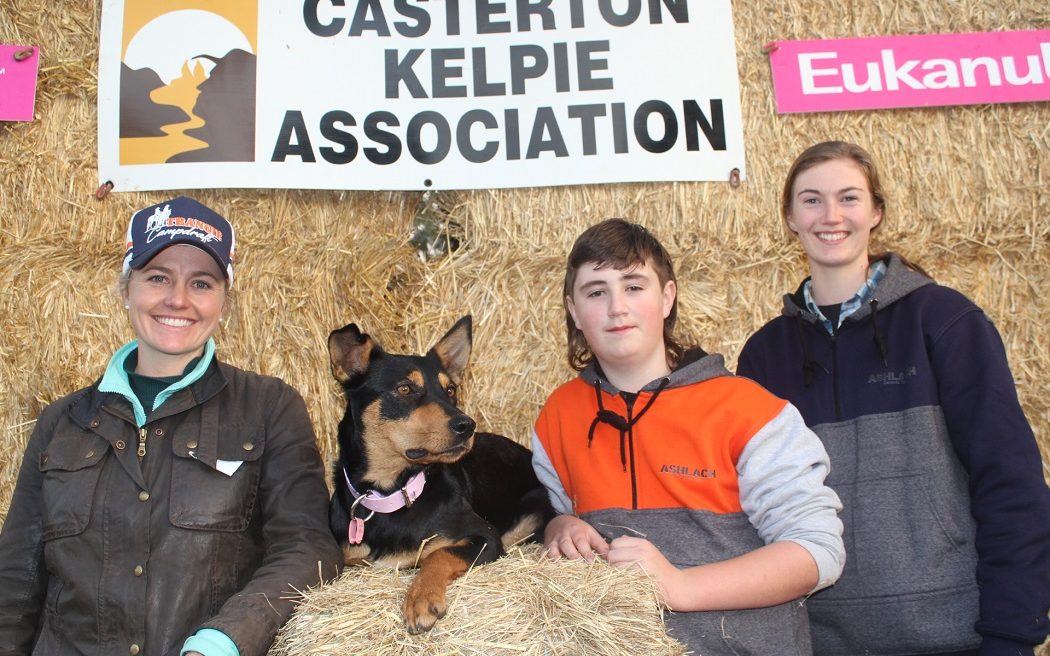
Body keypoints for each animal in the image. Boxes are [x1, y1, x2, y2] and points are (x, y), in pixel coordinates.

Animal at [327, 314, 558, 633]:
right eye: (405, 389)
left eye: (451, 391)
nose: (467, 425)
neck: (391, 493)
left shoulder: (485, 537)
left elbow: (438, 553)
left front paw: (421, 598)